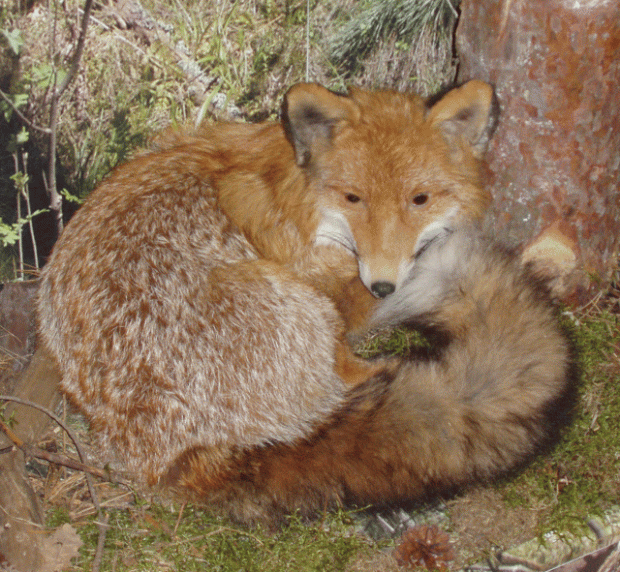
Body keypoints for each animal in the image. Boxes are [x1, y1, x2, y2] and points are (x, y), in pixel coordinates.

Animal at [36, 81, 572, 528]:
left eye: (419, 199)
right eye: (354, 199)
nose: (383, 286)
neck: (298, 204)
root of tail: (181, 456)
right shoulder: (338, 291)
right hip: (305, 306)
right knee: (355, 376)